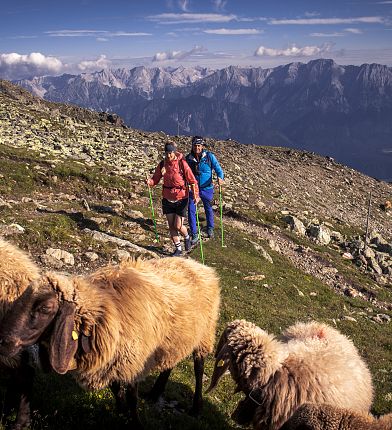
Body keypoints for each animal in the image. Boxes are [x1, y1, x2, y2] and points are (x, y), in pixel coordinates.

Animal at [0, 256, 220, 428]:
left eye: (45, 308)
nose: (3, 341)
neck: (104, 310)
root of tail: (199, 265)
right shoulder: (114, 360)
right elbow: (116, 389)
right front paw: (120, 412)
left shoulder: (134, 362)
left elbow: (132, 398)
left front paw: (134, 422)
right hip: (177, 338)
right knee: (170, 363)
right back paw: (155, 392)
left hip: (205, 334)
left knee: (199, 368)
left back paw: (196, 407)